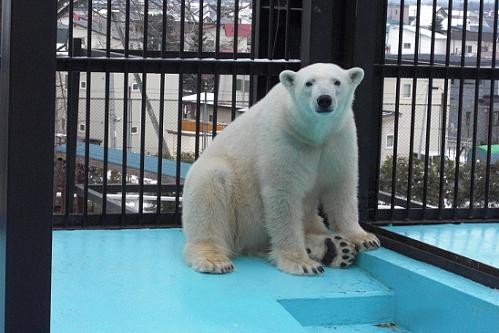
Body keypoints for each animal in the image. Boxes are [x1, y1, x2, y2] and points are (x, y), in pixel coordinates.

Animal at [182, 63, 380, 274]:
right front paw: (302, 263)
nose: (324, 100)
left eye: (337, 82)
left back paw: (336, 248)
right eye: (309, 83)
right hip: (238, 210)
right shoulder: (284, 137)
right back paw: (214, 260)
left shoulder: (338, 138)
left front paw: (365, 238)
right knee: (210, 188)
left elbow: (341, 188)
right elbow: (283, 195)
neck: (313, 133)